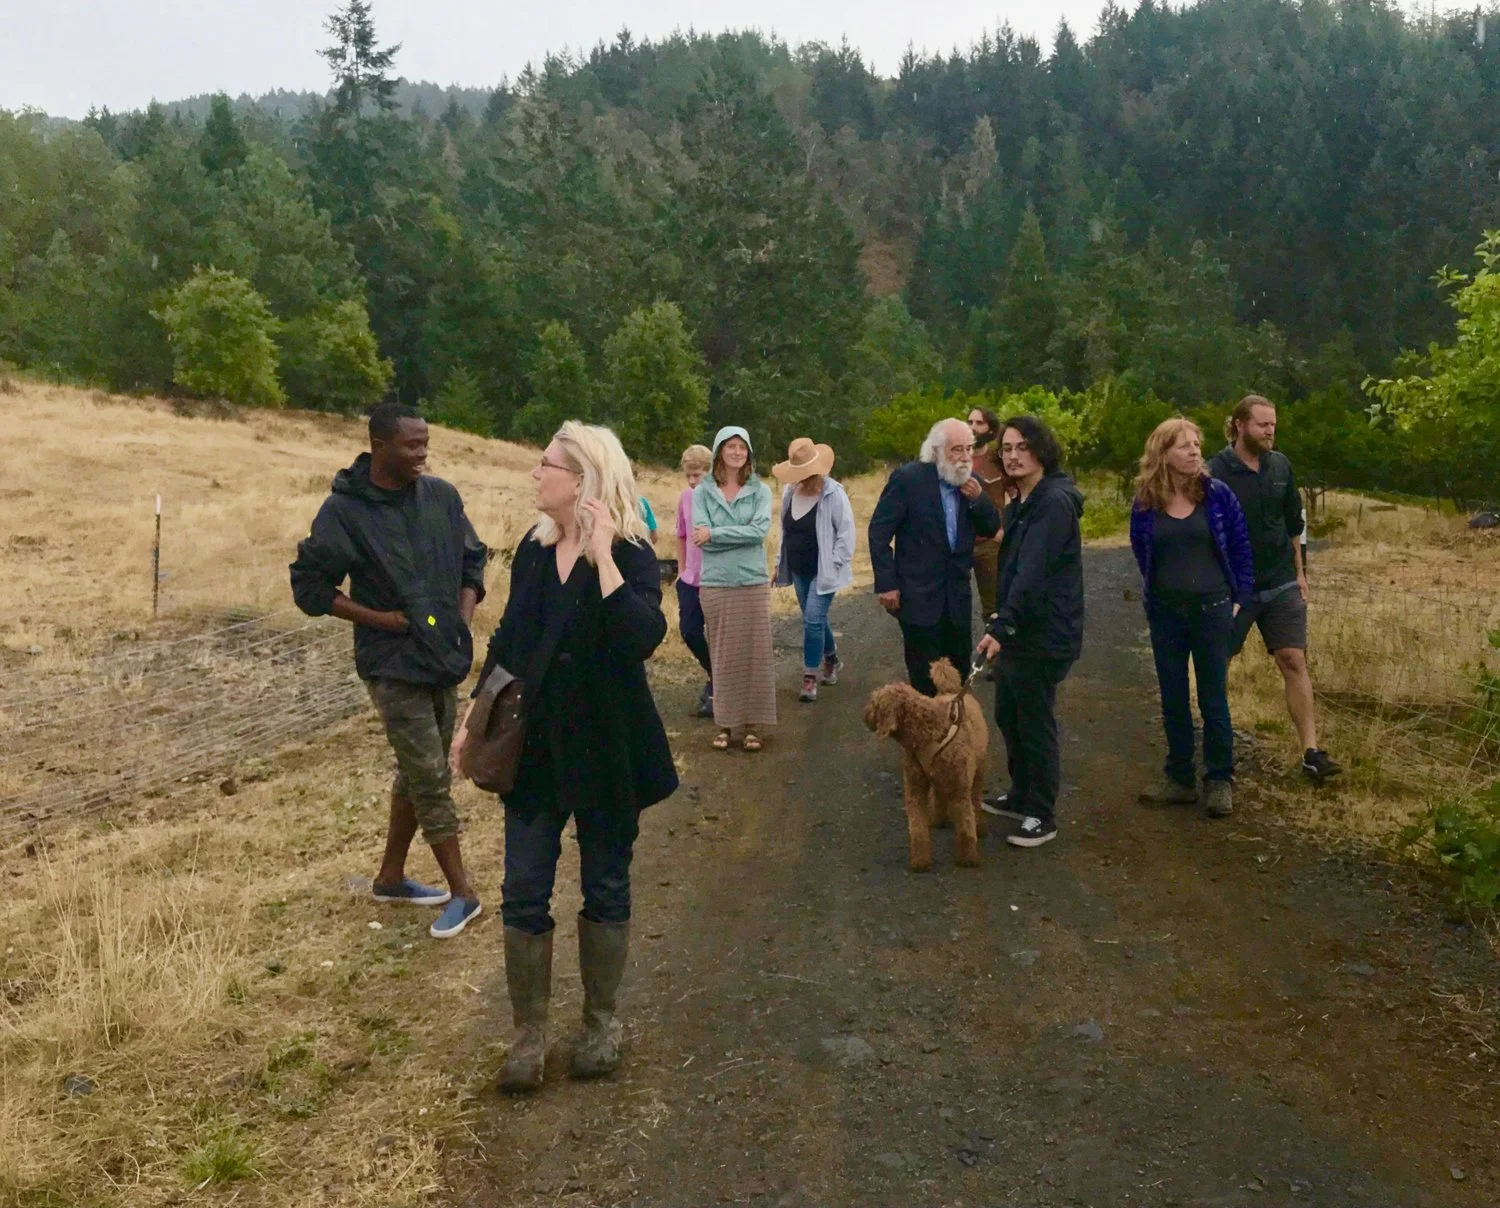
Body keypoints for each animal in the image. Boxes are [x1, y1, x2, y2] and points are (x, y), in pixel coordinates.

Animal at [870, 660, 984, 864]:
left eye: (874, 703)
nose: (865, 714)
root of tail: (951, 692)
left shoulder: (960, 789)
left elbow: (965, 825)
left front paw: (967, 858)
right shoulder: (915, 786)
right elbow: (917, 828)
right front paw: (920, 861)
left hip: (979, 769)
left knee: (976, 798)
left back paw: (978, 825)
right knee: (939, 797)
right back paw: (938, 819)